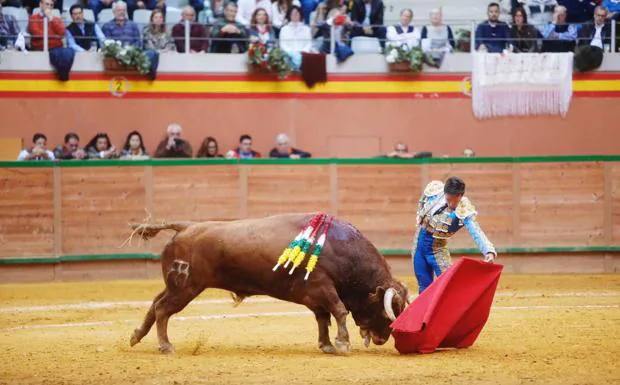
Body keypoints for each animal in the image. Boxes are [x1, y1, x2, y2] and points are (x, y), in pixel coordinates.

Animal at [128, 213, 410, 354]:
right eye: (386, 310)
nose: (383, 339)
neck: (340, 249)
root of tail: (186, 226)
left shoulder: (315, 297)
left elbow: (323, 318)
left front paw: (327, 345)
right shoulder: (322, 288)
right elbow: (338, 311)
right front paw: (342, 344)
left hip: (177, 286)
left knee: (155, 304)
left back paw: (136, 336)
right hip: (187, 287)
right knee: (163, 309)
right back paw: (166, 346)